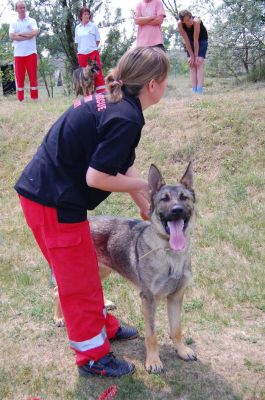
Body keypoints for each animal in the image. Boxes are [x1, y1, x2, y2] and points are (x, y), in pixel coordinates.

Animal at [53, 162, 196, 372]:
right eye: (164, 199)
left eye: (184, 198)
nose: (177, 210)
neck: (171, 254)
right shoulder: (148, 300)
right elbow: (152, 335)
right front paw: (153, 361)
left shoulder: (176, 297)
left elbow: (177, 329)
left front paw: (182, 350)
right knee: (58, 292)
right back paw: (58, 318)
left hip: (101, 270)